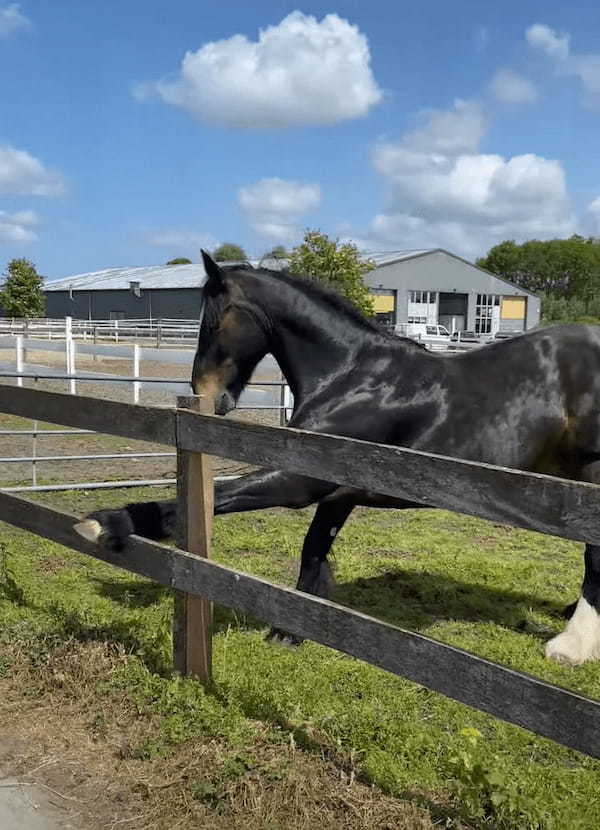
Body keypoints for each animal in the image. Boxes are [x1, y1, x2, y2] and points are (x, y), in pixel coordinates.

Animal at [76, 250, 600, 668]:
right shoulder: (336, 492)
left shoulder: (300, 480)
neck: (351, 377)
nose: (207, 395)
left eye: (213, 320)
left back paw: (570, 646)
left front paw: (106, 522)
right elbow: (313, 551)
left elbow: (214, 498)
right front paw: (291, 631)